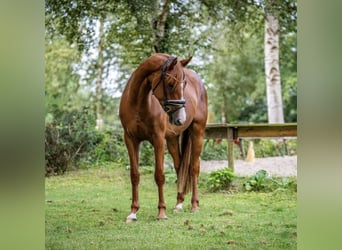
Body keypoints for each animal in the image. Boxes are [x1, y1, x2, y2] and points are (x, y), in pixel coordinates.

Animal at [119, 53, 207, 222]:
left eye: (184, 84)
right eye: (171, 84)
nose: (181, 118)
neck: (139, 103)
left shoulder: (158, 140)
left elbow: (159, 175)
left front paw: (161, 212)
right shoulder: (130, 140)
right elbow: (135, 175)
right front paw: (133, 212)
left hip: (197, 132)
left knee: (194, 168)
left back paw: (194, 205)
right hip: (172, 138)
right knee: (180, 167)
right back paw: (179, 204)